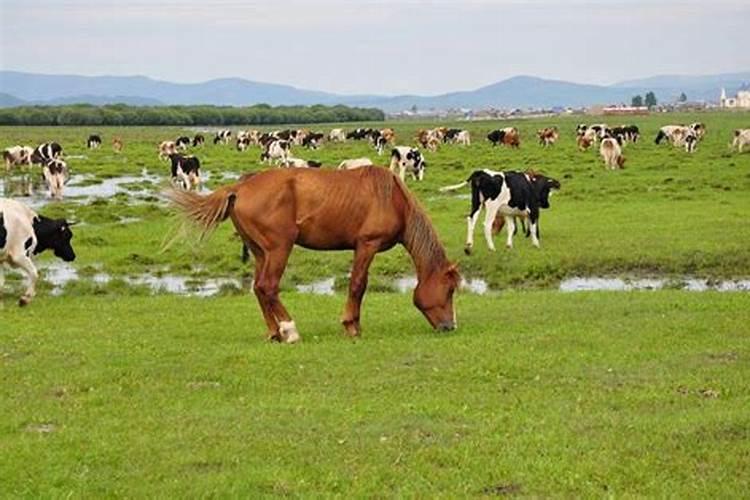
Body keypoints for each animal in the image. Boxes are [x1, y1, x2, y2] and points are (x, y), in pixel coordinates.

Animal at [167, 166, 462, 342]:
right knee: (268, 286)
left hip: (260, 252)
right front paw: (351, 326)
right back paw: (290, 330)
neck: (393, 199)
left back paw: (274, 332)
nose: (450, 326)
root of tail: (239, 188)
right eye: (449, 290)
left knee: (258, 288)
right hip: (279, 249)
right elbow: (358, 285)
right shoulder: (367, 245)